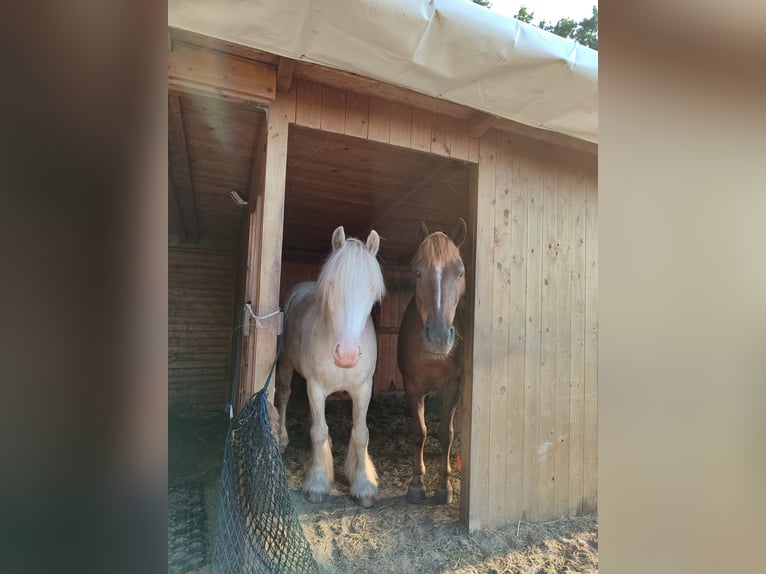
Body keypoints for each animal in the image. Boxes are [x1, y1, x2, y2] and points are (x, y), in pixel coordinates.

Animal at [276, 225, 388, 508]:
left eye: (371, 288)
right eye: (332, 283)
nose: (346, 355)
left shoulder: (363, 388)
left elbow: (360, 433)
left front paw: (363, 485)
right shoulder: (316, 387)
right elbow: (319, 431)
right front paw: (317, 484)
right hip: (285, 365)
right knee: (283, 396)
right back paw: (281, 438)